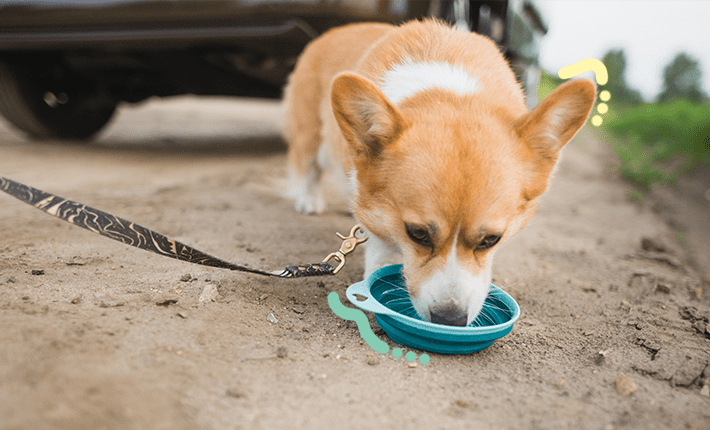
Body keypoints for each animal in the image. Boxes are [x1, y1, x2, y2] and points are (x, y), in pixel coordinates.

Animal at [282, 19, 596, 326]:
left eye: (491, 240)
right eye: (417, 234)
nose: (450, 320)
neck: (449, 95)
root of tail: (332, 31)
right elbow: (380, 243)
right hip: (311, 135)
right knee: (307, 164)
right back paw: (308, 200)